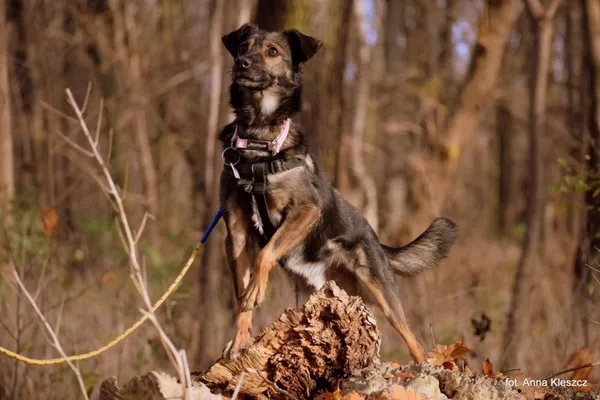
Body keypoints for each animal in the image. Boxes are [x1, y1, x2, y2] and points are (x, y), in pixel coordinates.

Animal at [218, 24, 458, 362]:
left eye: (272, 52)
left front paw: (255, 291)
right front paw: (238, 340)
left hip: (380, 287)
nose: (242, 63)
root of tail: (377, 241)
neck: (259, 141)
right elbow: (241, 296)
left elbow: (264, 255)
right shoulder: (236, 232)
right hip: (313, 293)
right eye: (242, 47)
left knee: (412, 339)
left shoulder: (306, 210)